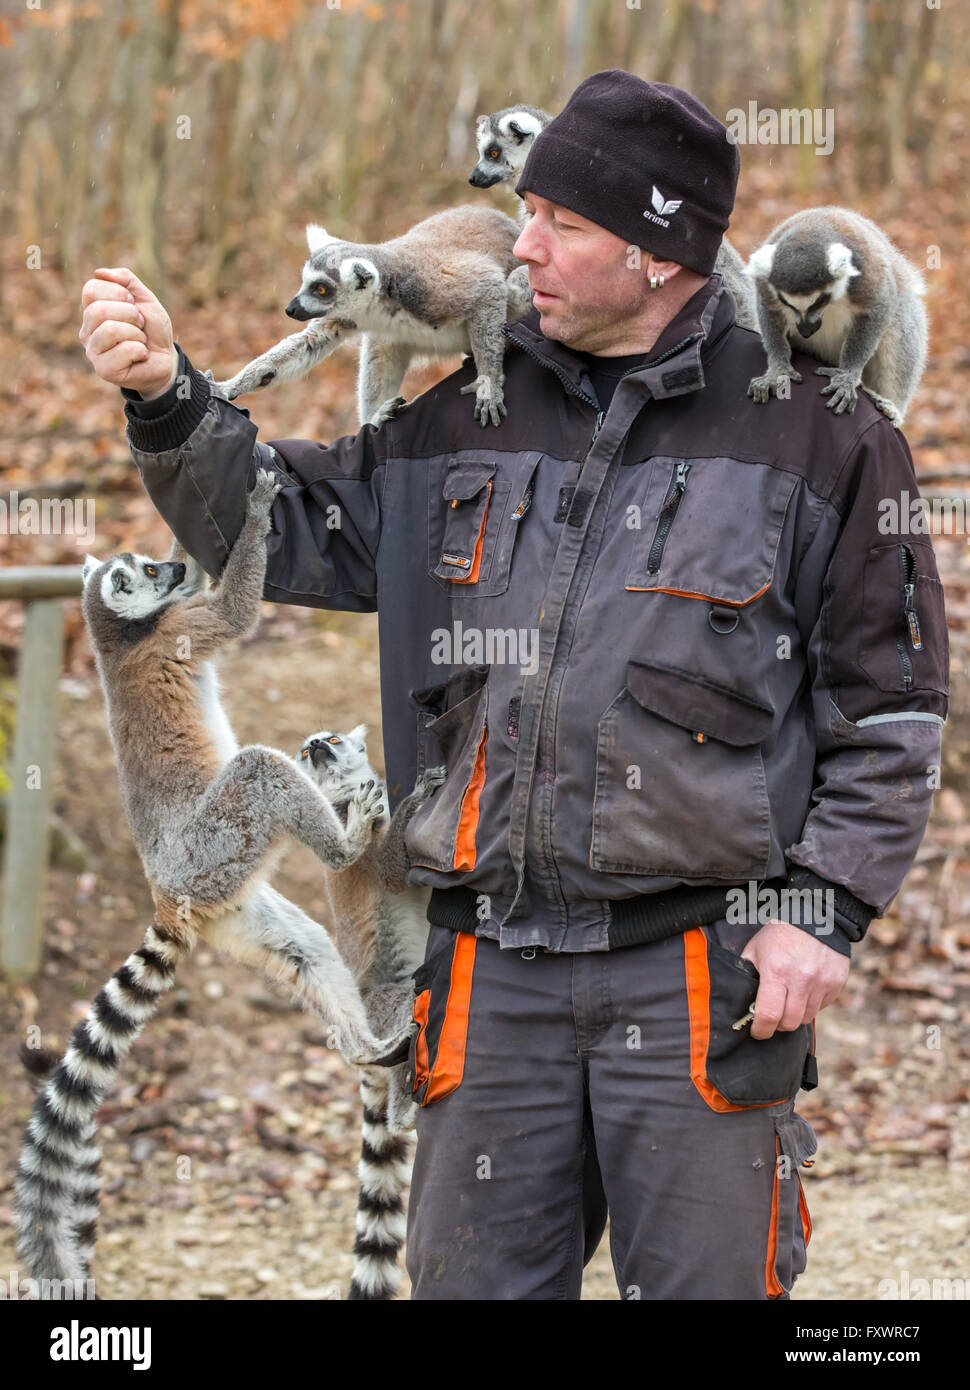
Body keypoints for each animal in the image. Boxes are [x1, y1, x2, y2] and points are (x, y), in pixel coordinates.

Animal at [14, 470, 413, 1295]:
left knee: (308, 954)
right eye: (147, 574)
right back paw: (347, 842)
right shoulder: (182, 627)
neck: (116, 635)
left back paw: (366, 1048)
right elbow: (231, 610)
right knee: (261, 769)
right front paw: (256, 514)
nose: (169, 567)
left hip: (237, 901)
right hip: (219, 842)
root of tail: (169, 893)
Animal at [206, 205, 529, 428]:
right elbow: (309, 344)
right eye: (304, 282)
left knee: (514, 286)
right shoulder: (347, 314)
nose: (291, 309)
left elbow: (489, 286)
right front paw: (228, 387)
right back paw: (374, 418)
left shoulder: (433, 289)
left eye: (321, 288)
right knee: (381, 348)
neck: (384, 302)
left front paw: (488, 385)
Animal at [297, 724, 447, 1300]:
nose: (317, 745)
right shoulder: (348, 829)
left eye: (332, 739)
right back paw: (406, 1111)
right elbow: (393, 869)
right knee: (411, 1003)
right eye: (305, 749)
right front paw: (418, 794)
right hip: (382, 1008)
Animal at [744, 206, 928, 427]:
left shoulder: (867, 271)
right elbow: (768, 309)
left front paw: (847, 377)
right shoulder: (766, 284)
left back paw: (893, 409)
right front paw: (778, 370)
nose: (806, 331)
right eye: (786, 303)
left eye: (819, 301)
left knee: (900, 330)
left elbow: (878, 308)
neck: (810, 230)